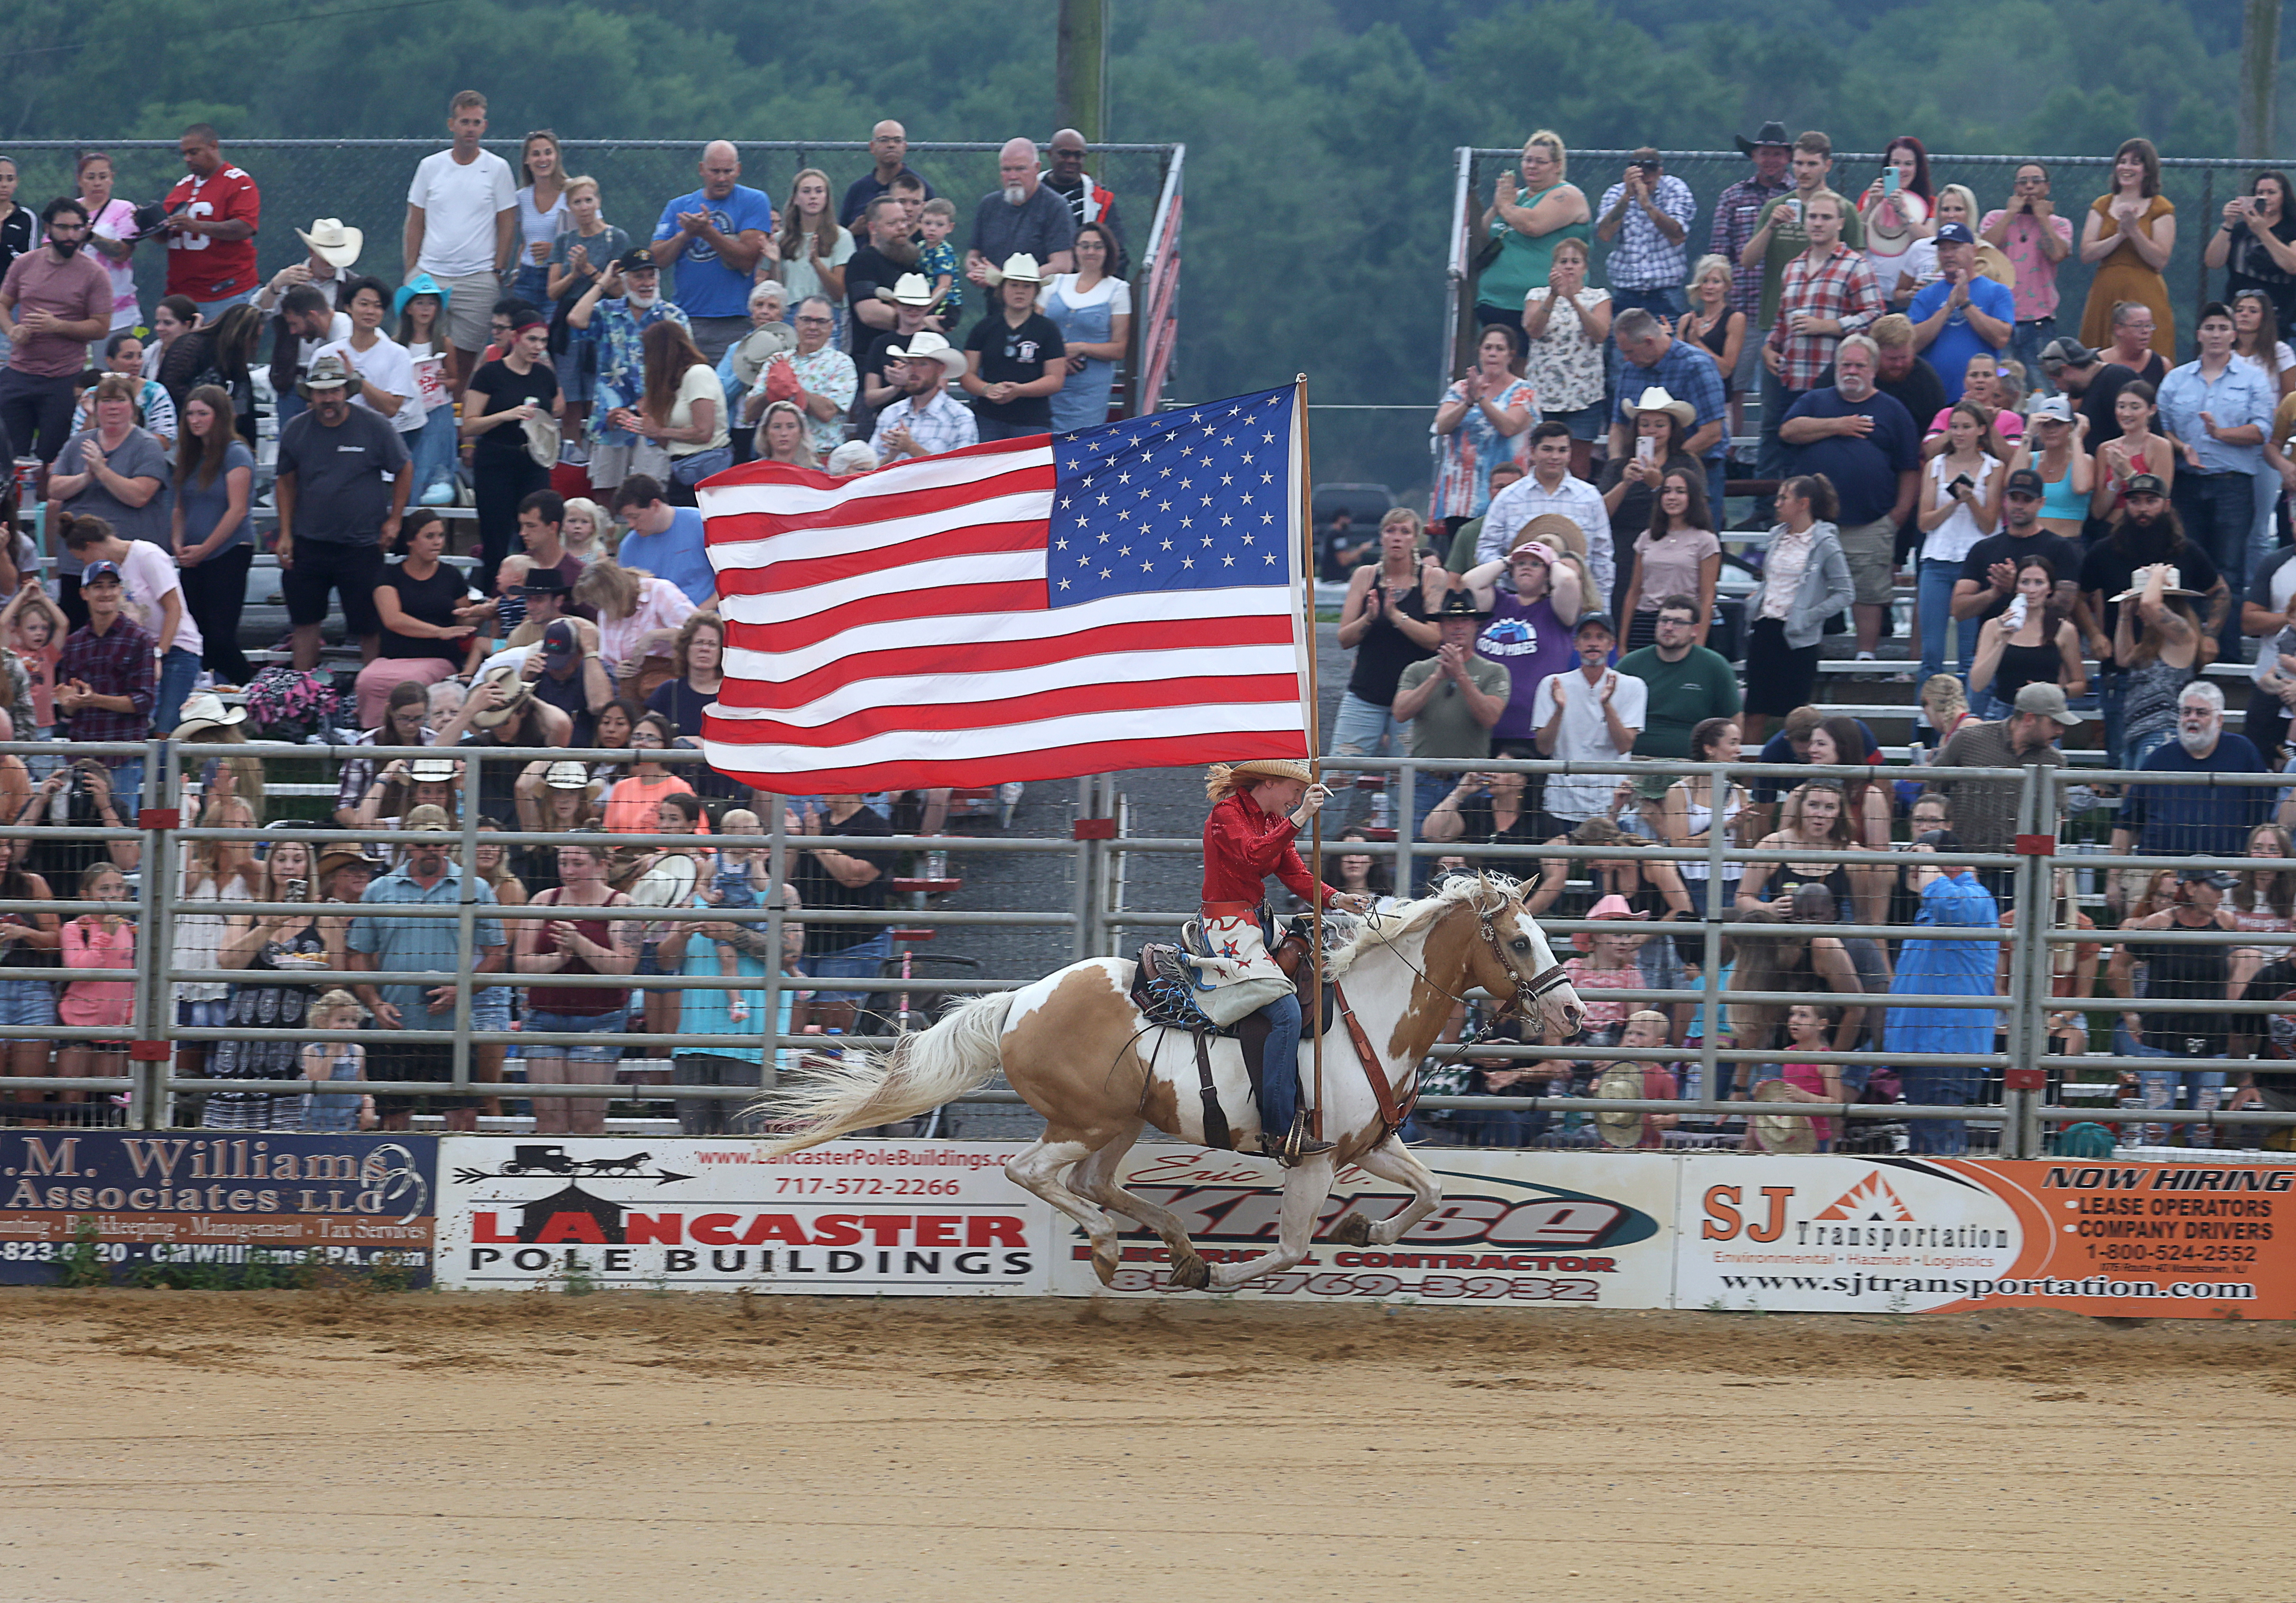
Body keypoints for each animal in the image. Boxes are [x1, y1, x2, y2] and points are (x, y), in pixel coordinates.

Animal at [753, 868, 1579, 1295]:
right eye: (1517, 940)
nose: (1572, 1010)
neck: (1364, 1020)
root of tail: (1018, 1002)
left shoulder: (1368, 1144)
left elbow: (1431, 1192)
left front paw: (1363, 1230)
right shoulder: (1311, 1160)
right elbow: (1290, 1249)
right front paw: (1230, 1274)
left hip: (1120, 1121)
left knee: (1093, 1182)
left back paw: (1175, 1246)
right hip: (1082, 1121)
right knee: (1035, 1173)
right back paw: (1113, 1248)